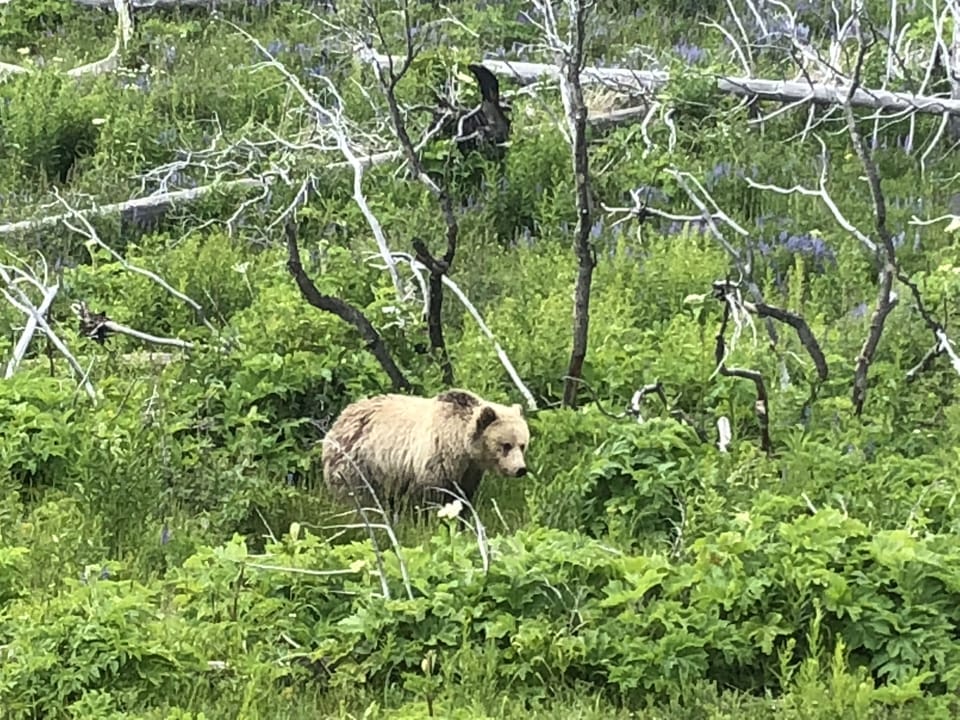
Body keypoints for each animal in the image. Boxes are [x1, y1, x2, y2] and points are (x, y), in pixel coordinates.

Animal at [321, 389, 530, 518]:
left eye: (522, 445)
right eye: (505, 445)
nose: (520, 469)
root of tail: (342, 416)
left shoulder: (470, 471)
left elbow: (463, 497)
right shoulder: (436, 458)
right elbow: (433, 495)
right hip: (358, 463)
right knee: (355, 494)